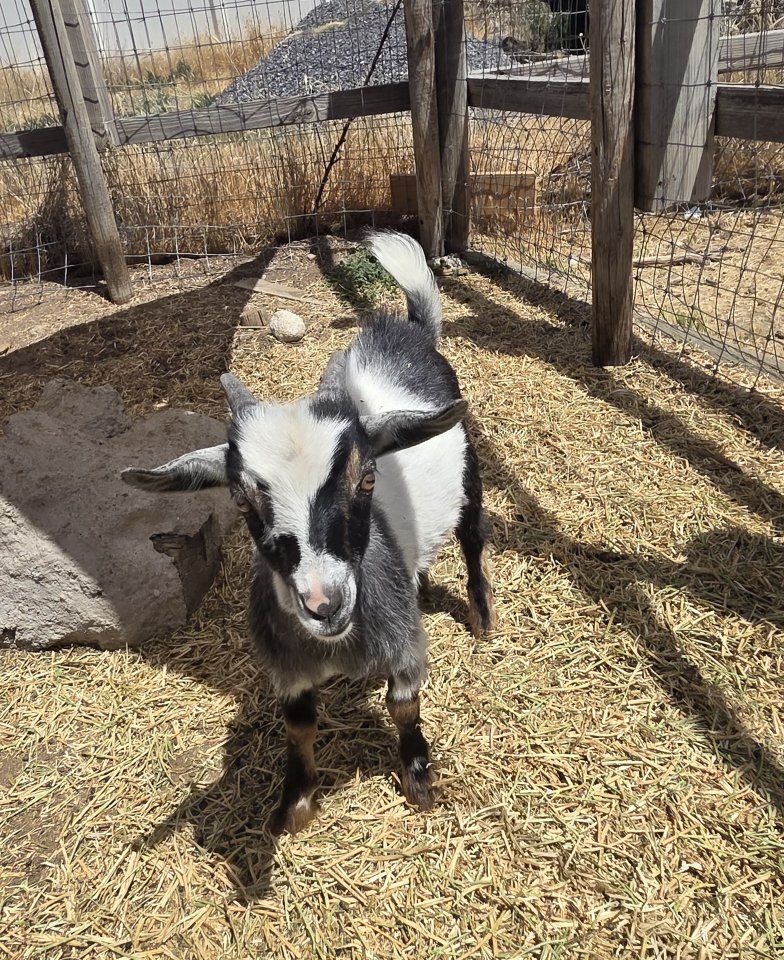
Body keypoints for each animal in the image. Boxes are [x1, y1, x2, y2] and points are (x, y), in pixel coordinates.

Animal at [122, 231, 497, 834]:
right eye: (241, 498)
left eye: (366, 477)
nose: (325, 602)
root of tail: (409, 331)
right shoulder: (288, 667)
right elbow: (298, 726)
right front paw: (294, 804)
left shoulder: (405, 645)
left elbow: (404, 705)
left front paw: (419, 780)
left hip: (471, 471)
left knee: (472, 536)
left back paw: (483, 618)